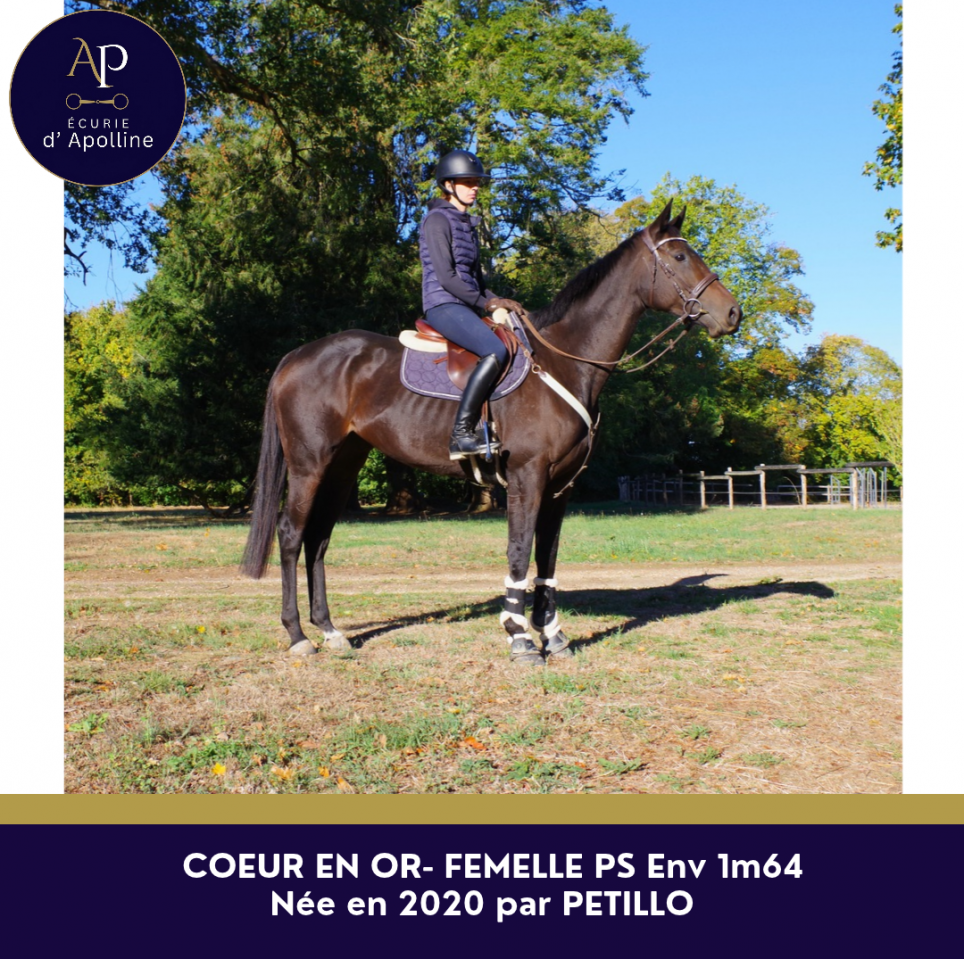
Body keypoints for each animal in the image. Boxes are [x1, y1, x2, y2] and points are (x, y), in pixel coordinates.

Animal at [240, 200, 742, 664]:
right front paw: (519, 637)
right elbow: (519, 552)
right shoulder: (527, 477)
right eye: (679, 256)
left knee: (318, 537)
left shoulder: (560, 487)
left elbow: (547, 557)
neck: (565, 359)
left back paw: (329, 630)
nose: (733, 313)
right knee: (291, 534)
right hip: (309, 465)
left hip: (343, 465)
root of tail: (298, 355)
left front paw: (552, 635)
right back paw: (298, 636)